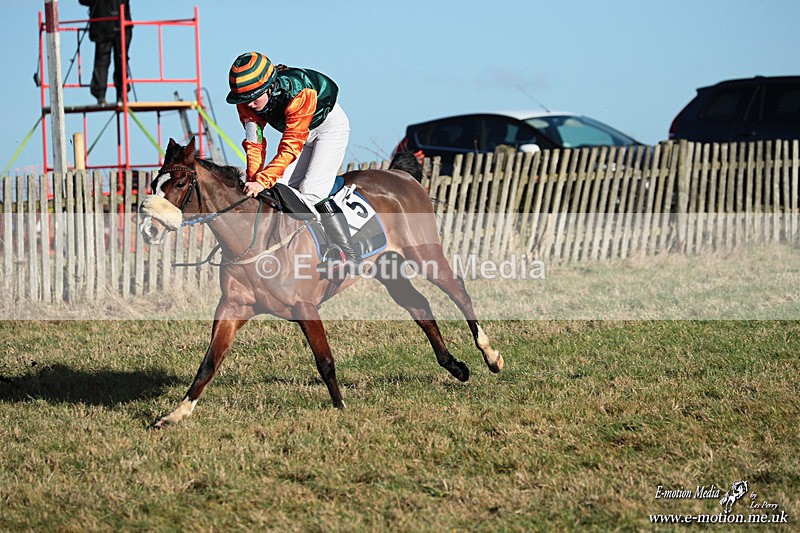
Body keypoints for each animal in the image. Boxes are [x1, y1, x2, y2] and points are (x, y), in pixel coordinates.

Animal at [139, 137, 503, 428]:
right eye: (155, 182)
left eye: (180, 183)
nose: (149, 229)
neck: (254, 240)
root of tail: (399, 175)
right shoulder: (233, 308)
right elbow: (208, 364)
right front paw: (176, 414)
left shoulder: (305, 307)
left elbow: (325, 361)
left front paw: (340, 407)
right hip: (387, 266)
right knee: (421, 308)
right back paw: (455, 367)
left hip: (424, 252)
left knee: (459, 291)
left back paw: (490, 355)